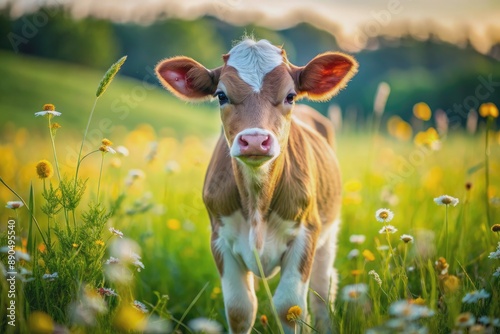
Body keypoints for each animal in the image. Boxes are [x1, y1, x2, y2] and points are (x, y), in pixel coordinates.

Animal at [155, 37, 356, 332]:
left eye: (290, 95)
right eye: (221, 95)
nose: (254, 140)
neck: (257, 200)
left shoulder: (306, 233)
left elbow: (290, 307)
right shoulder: (220, 239)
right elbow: (240, 309)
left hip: (328, 235)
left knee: (322, 292)